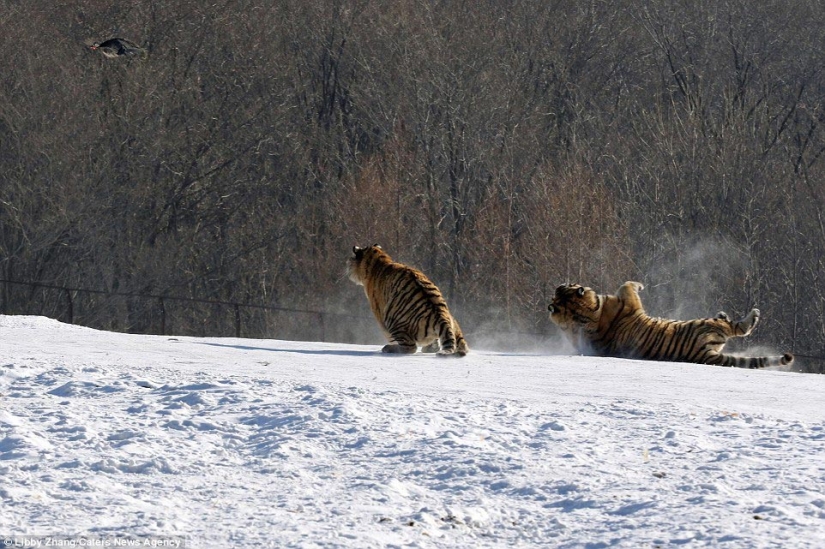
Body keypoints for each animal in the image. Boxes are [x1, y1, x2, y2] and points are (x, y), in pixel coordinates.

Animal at [547, 281, 794, 369]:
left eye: (563, 288)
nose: (559, 284)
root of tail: (703, 356)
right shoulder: (628, 300)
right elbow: (628, 284)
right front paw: (641, 284)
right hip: (704, 324)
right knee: (738, 328)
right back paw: (752, 314)